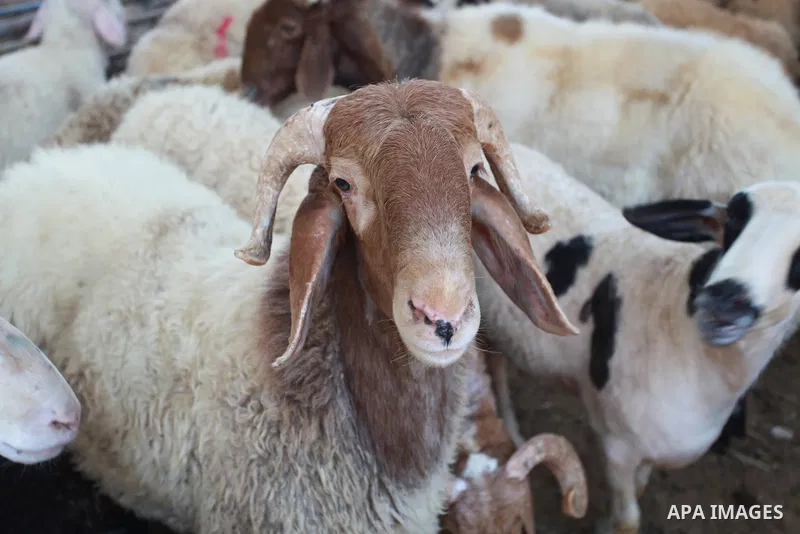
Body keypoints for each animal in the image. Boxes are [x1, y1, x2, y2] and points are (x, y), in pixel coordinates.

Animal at [470, 142, 800, 534]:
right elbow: (629, 518)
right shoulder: (617, 445)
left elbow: (639, 489)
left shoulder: (647, 446)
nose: (722, 301)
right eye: (733, 222)